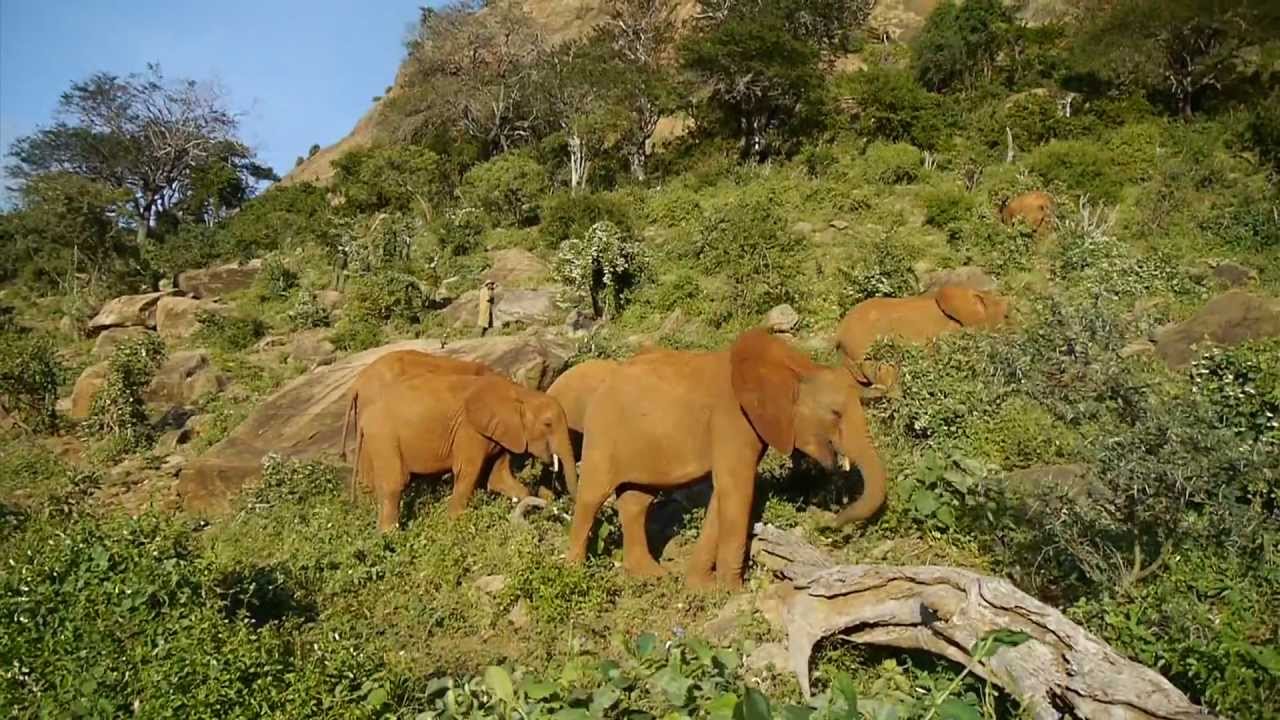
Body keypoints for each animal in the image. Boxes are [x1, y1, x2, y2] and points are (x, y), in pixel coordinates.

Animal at [356, 372, 578, 532]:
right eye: (548, 424)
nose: (563, 508)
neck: (519, 393)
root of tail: (363, 417)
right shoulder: (469, 430)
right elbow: (468, 471)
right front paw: (457, 521)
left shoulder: (501, 433)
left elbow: (498, 476)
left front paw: (521, 501)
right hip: (384, 437)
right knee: (394, 483)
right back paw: (390, 535)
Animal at [565, 328, 887, 589]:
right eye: (835, 414)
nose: (831, 523)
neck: (794, 366)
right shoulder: (732, 419)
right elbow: (737, 489)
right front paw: (733, 592)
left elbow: (724, 493)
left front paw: (702, 587)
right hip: (603, 432)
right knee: (592, 497)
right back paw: (574, 574)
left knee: (636, 501)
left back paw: (651, 576)